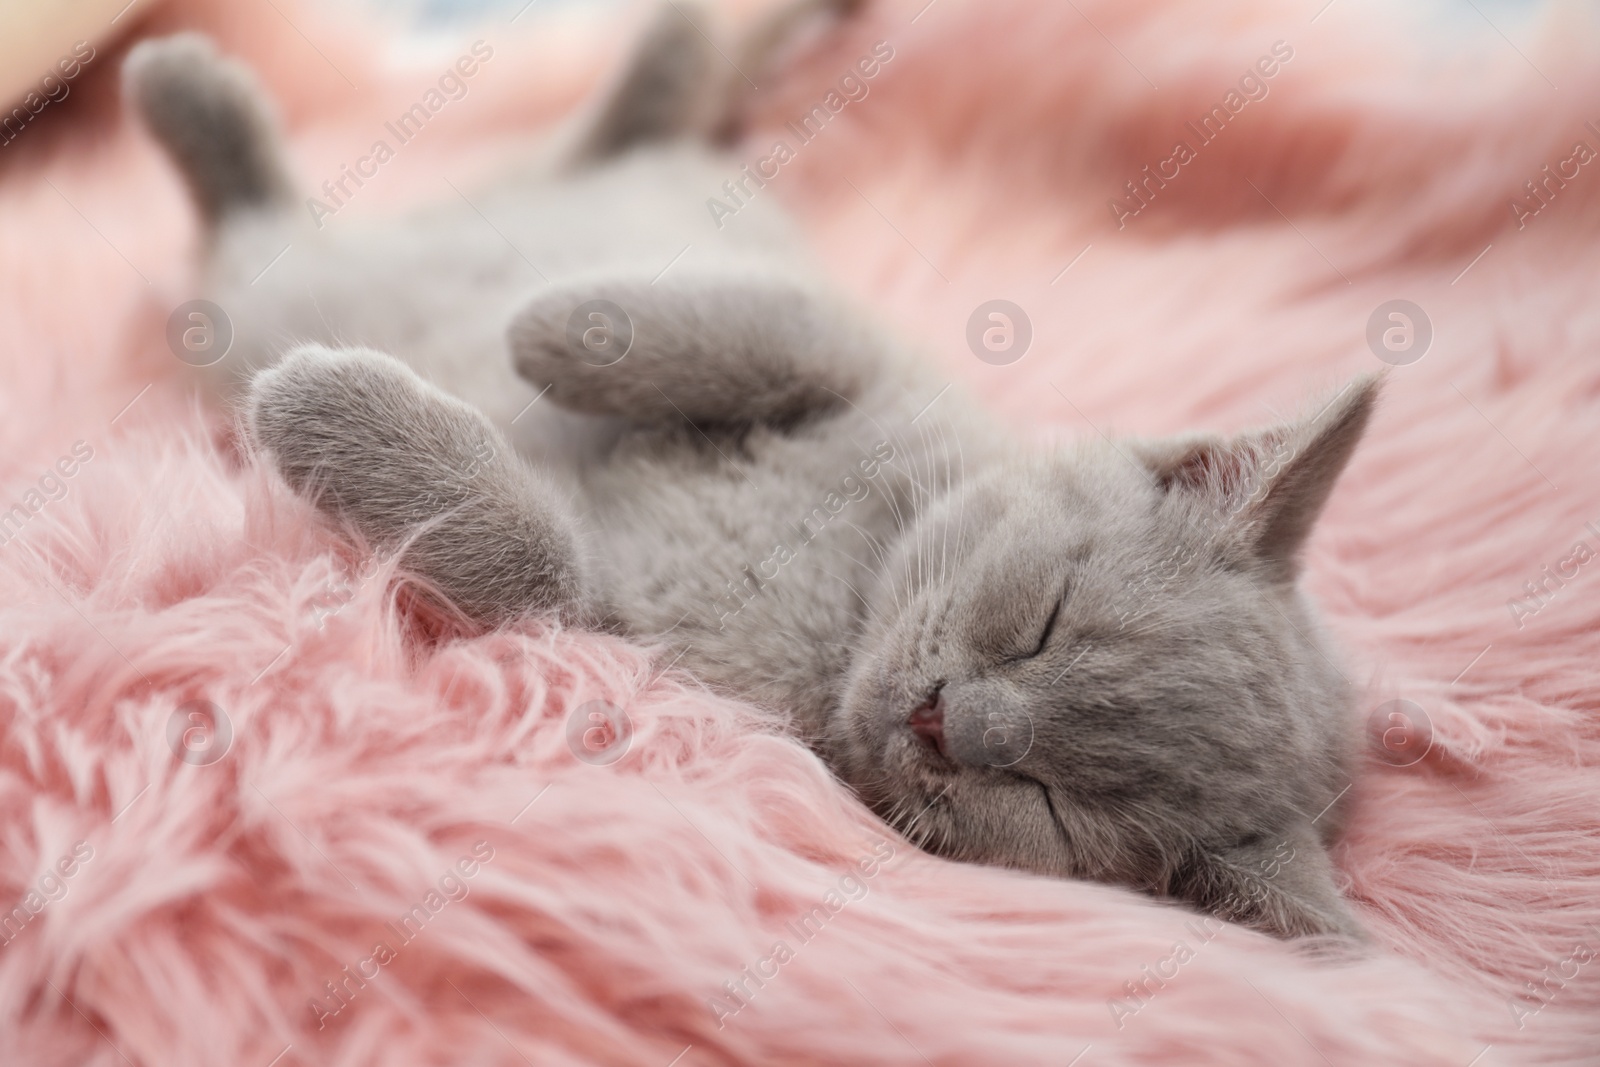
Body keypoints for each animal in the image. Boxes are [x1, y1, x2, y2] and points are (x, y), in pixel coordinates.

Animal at [124, 2, 1376, 934]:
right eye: (1046, 619)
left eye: (1049, 799)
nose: (946, 720)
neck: (848, 598)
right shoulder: (849, 346)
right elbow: (764, 325)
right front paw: (554, 330)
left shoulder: (624, 647)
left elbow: (532, 556)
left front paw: (326, 406)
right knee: (592, 149)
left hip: (246, 299)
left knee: (257, 231)